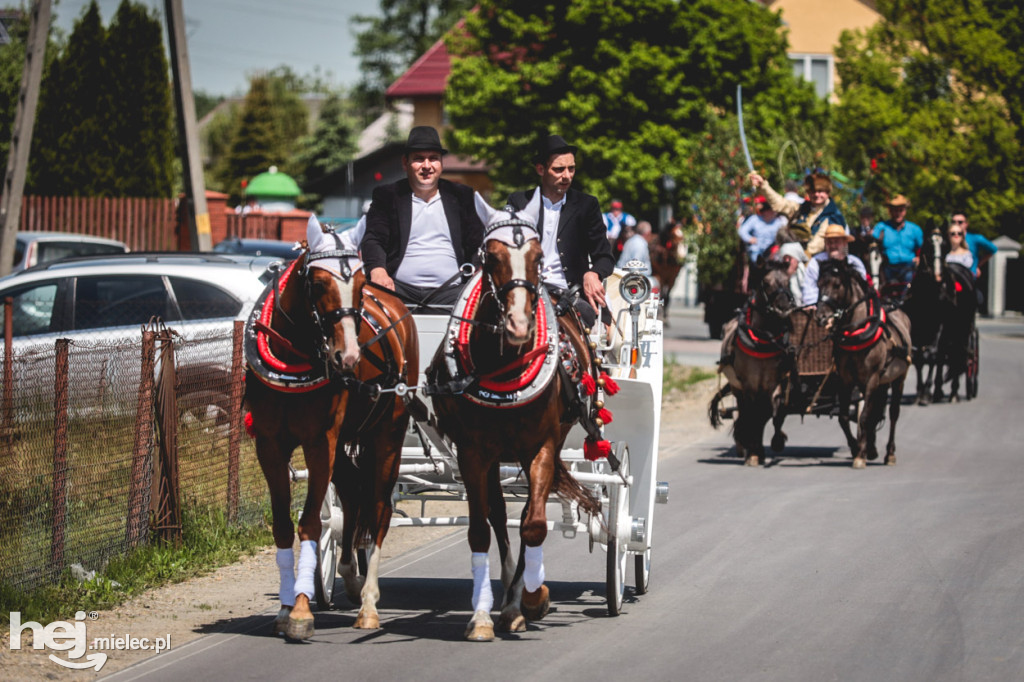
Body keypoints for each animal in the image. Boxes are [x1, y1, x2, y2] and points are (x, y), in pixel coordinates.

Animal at [241, 218, 417, 638]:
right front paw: (286, 606)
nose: (349, 356)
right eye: (318, 283)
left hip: (387, 437)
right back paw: (351, 575)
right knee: (351, 500)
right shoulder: (269, 445)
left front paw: (302, 611)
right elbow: (284, 526)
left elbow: (308, 524)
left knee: (379, 507)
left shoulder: (320, 441)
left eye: (361, 282)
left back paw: (368, 603)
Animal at [425, 189, 602, 638]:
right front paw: (483, 614)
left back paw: (520, 598)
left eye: (538, 258)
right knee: (499, 513)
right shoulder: (472, 453)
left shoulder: (541, 447)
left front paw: (534, 599)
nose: (519, 325)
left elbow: (534, 524)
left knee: (524, 516)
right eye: (490, 257)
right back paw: (506, 596)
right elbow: (480, 530)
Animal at [712, 258, 798, 464]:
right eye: (766, 283)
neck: (763, 339)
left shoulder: (774, 381)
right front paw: (753, 452)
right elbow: (753, 414)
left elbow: (771, 412)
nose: (784, 307)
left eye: (787, 281)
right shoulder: (750, 383)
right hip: (738, 387)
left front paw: (775, 441)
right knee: (744, 410)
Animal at [815, 258, 913, 464]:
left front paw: (860, 454)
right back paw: (872, 448)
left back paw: (889, 453)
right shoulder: (845, 380)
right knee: (876, 410)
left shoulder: (872, 378)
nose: (820, 317)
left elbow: (865, 416)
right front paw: (856, 447)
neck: (857, 332)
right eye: (818, 284)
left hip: (898, 377)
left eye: (837, 285)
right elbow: (845, 417)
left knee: (893, 412)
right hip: (878, 382)